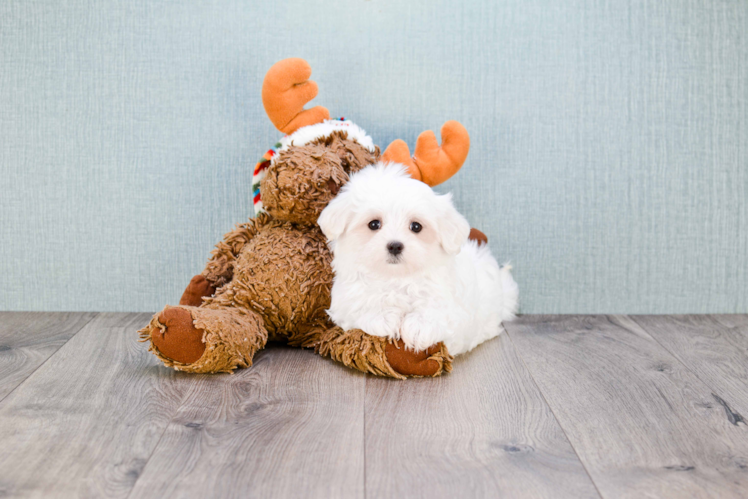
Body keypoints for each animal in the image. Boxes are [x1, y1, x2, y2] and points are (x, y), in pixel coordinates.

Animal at [318, 163, 520, 356]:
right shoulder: (345, 301)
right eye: (374, 224)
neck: (395, 278)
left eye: (416, 226)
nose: (395, 246)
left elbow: (436, 311)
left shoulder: (451, 306)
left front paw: (419, 326)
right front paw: (382, 317)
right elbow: (361, 306)